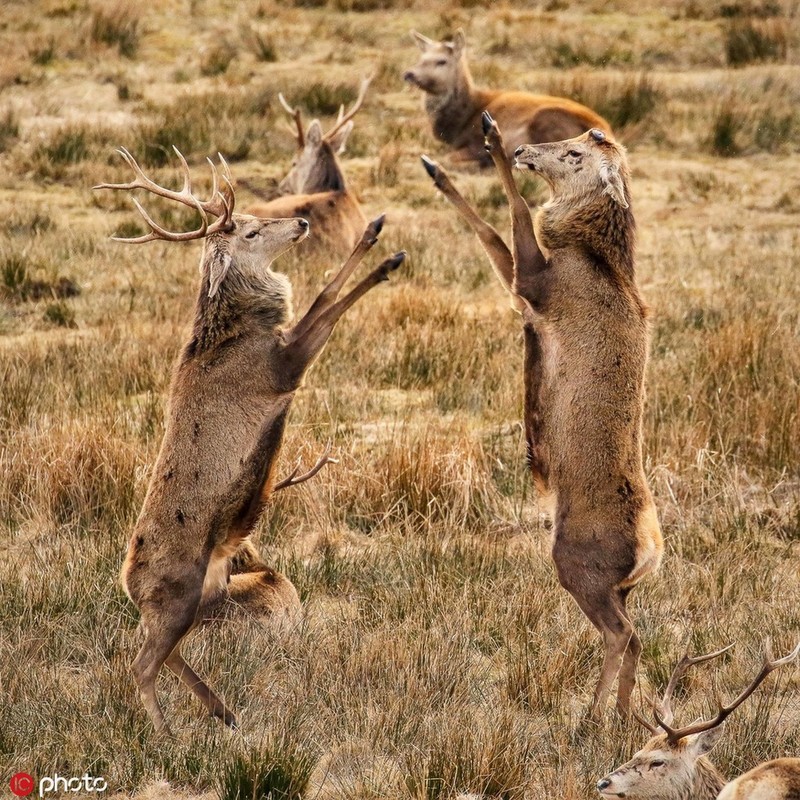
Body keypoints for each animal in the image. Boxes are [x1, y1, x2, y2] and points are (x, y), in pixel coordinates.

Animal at [96, 145, 404, 736]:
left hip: (206, 593)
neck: (243, 331)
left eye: (262, 216)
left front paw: (378, 232)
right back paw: (166, 733)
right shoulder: (280, 367)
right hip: (177, 592)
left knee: (166, 654)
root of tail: (126, 583)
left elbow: (327, 293)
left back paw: (224, 710)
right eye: (251, 230)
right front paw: (385, 257)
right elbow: (327, 302)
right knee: (141, 663)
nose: (301, 222)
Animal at [406, 30, 612, 167]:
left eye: (442, 61)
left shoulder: (476, 142)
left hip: (546, 120)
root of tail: (607, 130)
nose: (409, 74)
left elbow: (449, 158)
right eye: (420, 59)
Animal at [424, 115, 664, 716]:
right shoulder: (524, 292)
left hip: (578, 566)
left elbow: (510, 217)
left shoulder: (535, 285)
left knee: (622, 634)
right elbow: (491, 235)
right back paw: (622, 714)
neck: (591, 255)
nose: (526, 148)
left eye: (576, 154)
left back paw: (592, 717)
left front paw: (489, 139)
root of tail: (650, 552)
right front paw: (435, 169)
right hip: (620, 587)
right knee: (638, 636)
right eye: (578, 137)